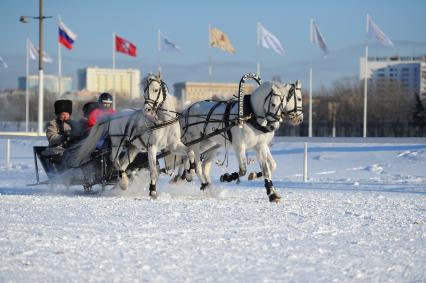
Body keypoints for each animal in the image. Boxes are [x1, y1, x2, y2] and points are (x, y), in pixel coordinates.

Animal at [67, 74, 196, 199]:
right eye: (145, 92)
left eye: (156, 89)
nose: (147, 109)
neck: (164, 121)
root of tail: (112, 117)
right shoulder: (152, 147)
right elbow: (153, 171)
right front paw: (152, 192)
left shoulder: (173, 145)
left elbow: (190, 152)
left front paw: (190, 173)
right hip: (117, 144)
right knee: (114, 160)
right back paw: (123, 183)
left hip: (133, 148)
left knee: (123, 164)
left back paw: (122, 182)